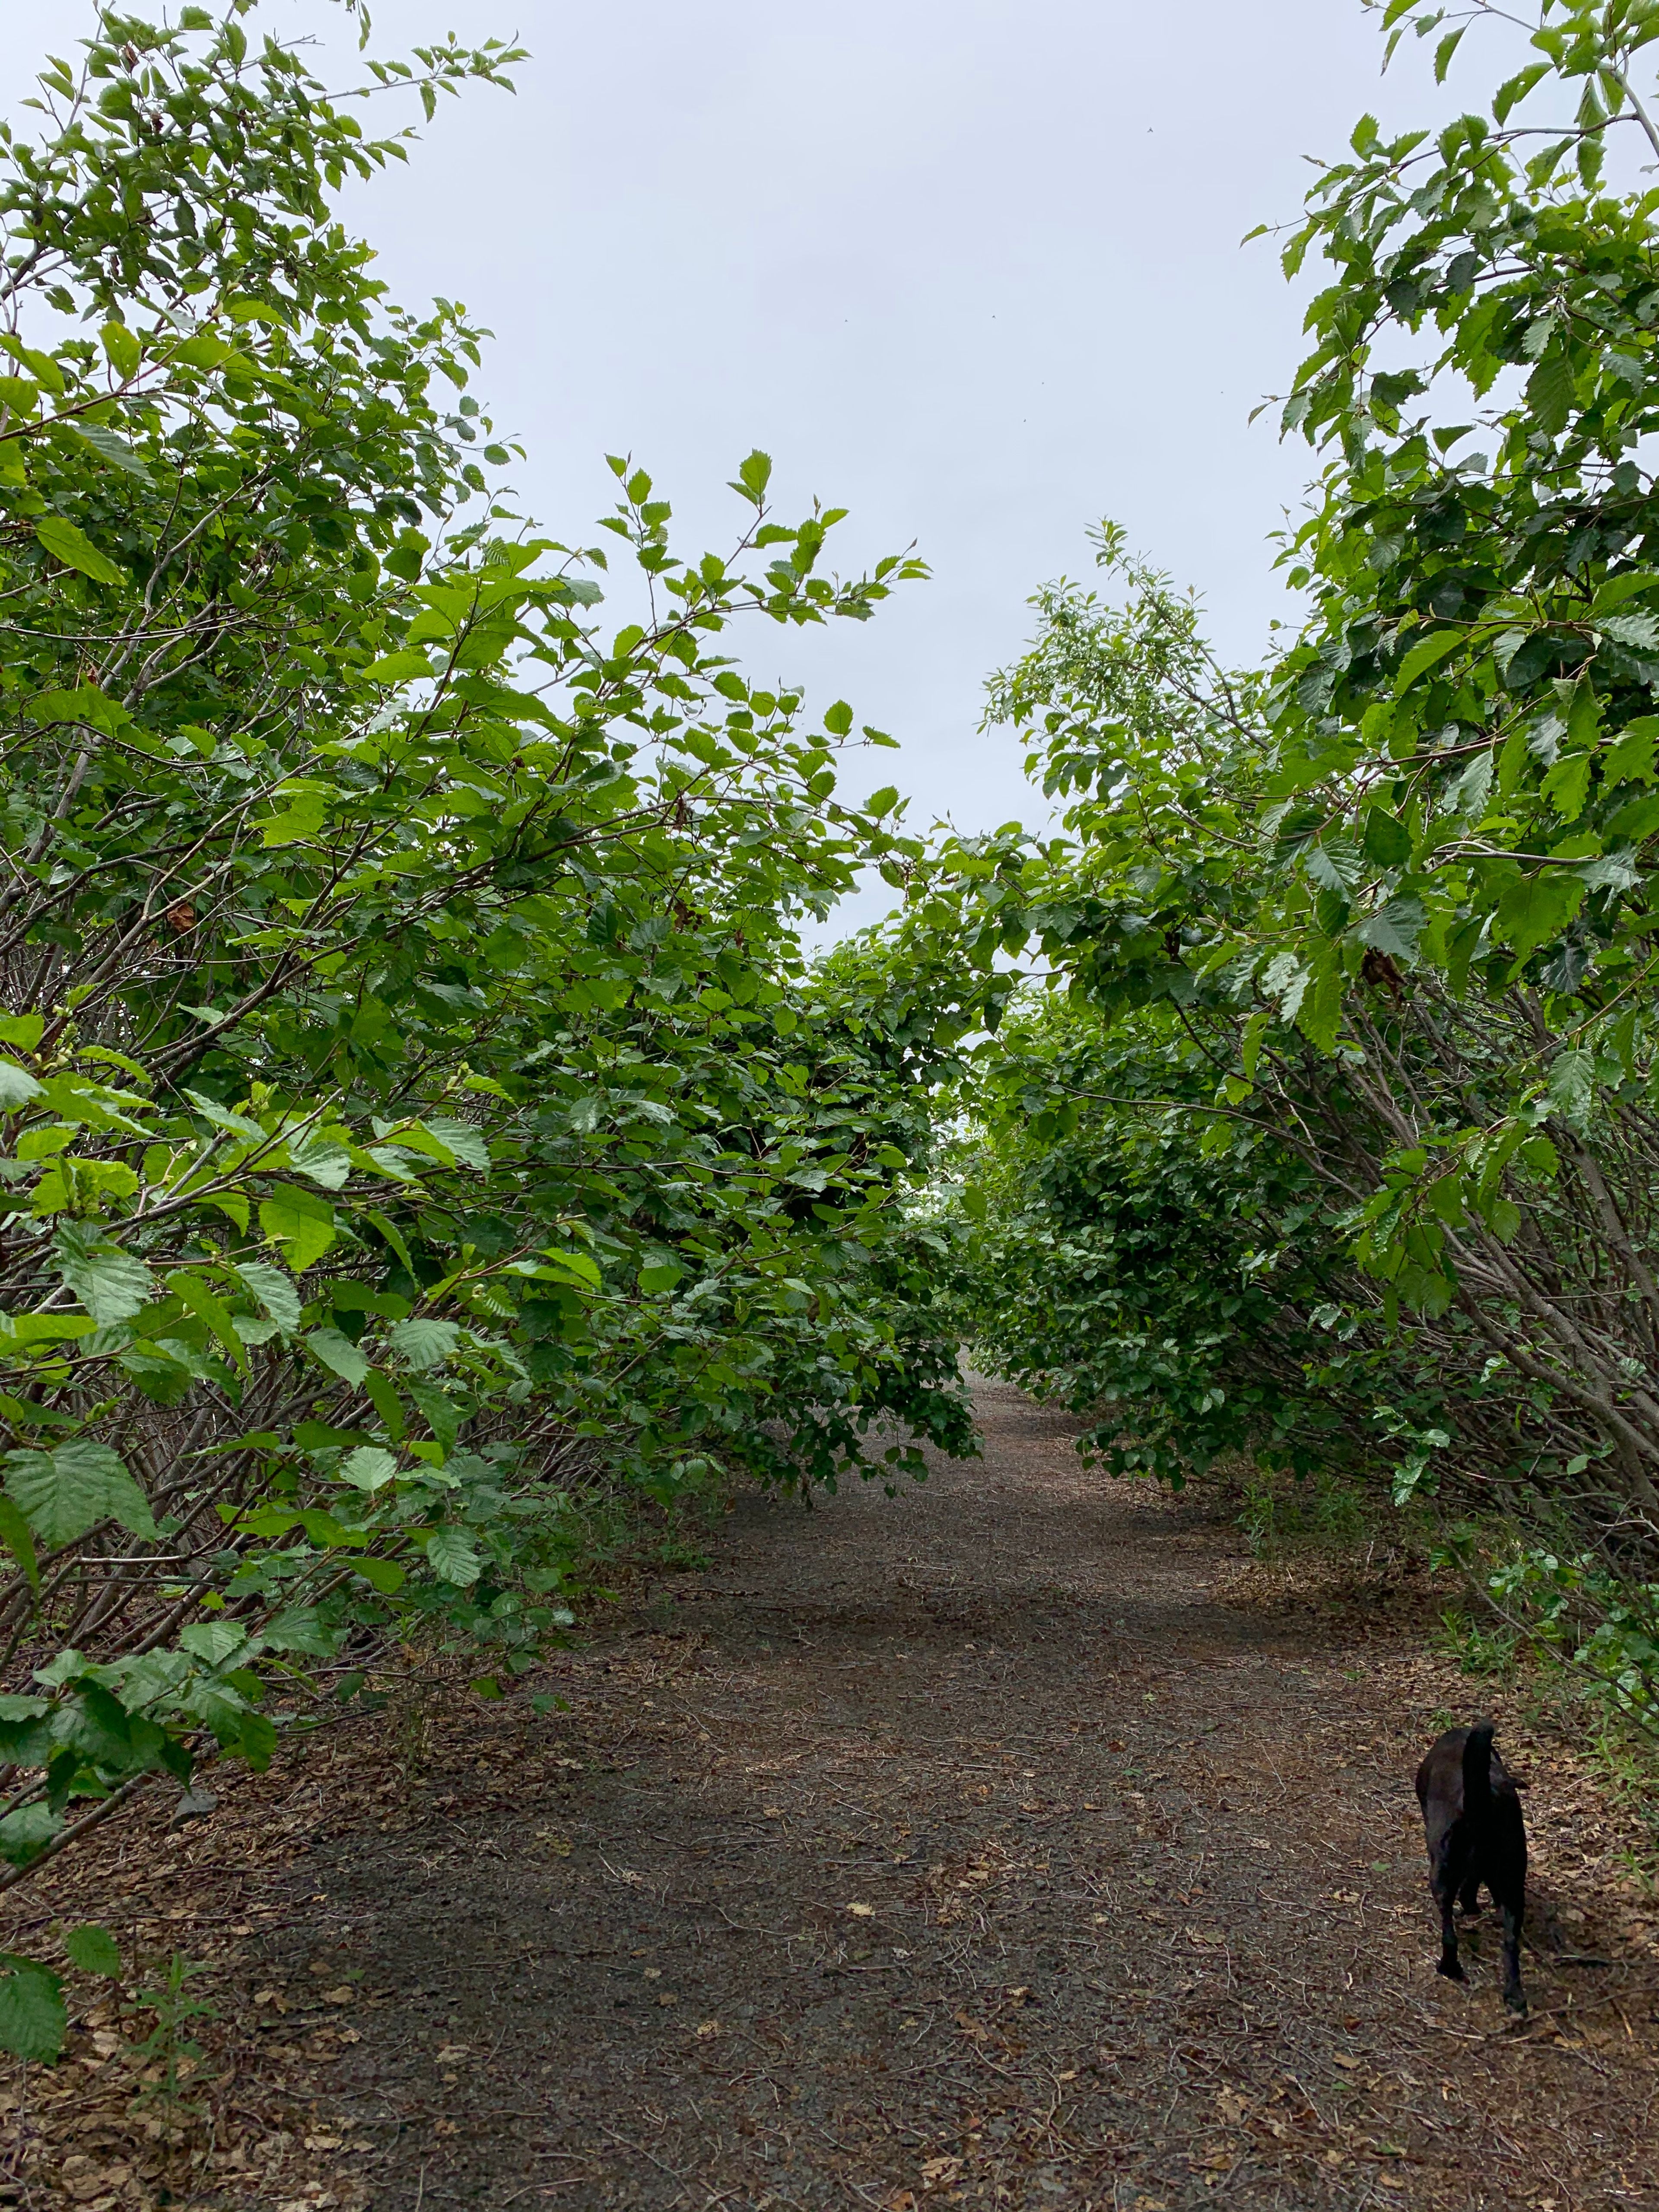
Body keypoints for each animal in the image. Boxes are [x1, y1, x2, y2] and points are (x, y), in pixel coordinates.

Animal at [1415, 1716, 1531, 2017]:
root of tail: (1482, 1800)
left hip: (1442, 1874)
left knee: (1449, 1932)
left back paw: (1449, 1968)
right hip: (1513, 1882)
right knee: (1510, 1943)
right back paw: (1514, 1995)